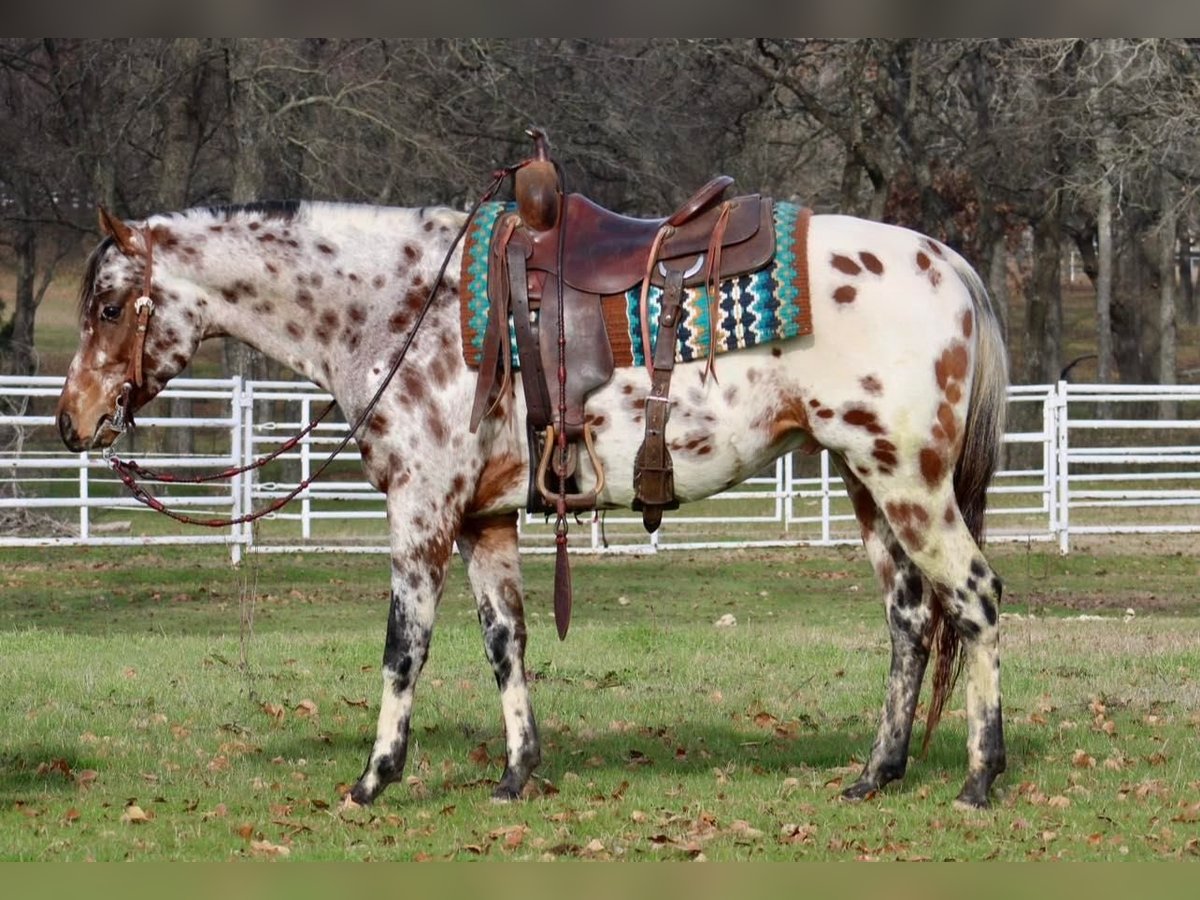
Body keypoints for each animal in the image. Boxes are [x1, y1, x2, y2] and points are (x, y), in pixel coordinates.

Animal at [58, 195, 1012, 811]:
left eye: (108, 305)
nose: (73, 422)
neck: (402, 305)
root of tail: (947, 263)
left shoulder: (422, 510)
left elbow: (405, 647)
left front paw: (373, 779)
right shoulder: (484, 519)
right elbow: (503, 641)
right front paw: (517, 772)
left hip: (908, 481)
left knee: (974, 601)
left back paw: (978, 777)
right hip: (865, 485)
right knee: (909, 620)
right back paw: (876, 773)